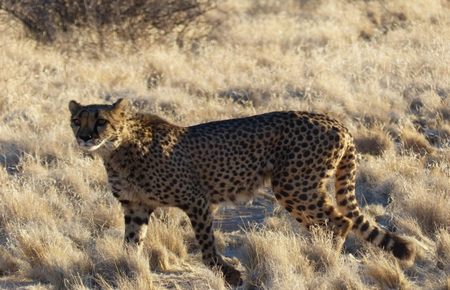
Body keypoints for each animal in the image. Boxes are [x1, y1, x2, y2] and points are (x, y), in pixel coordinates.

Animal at [68, 99, 416, 286]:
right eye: (76, 120)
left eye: (101, 121)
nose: (84, 137)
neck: (117, 150)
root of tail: (334, 119)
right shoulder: (136, 207)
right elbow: (131, 244)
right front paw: (126, 272)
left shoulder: (196, 199)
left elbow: (207, 246)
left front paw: (229, 274)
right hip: (298, 187)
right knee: (326, 223)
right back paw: (315, 255)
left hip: (293, 185)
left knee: (339, 221)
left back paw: (324, 263)